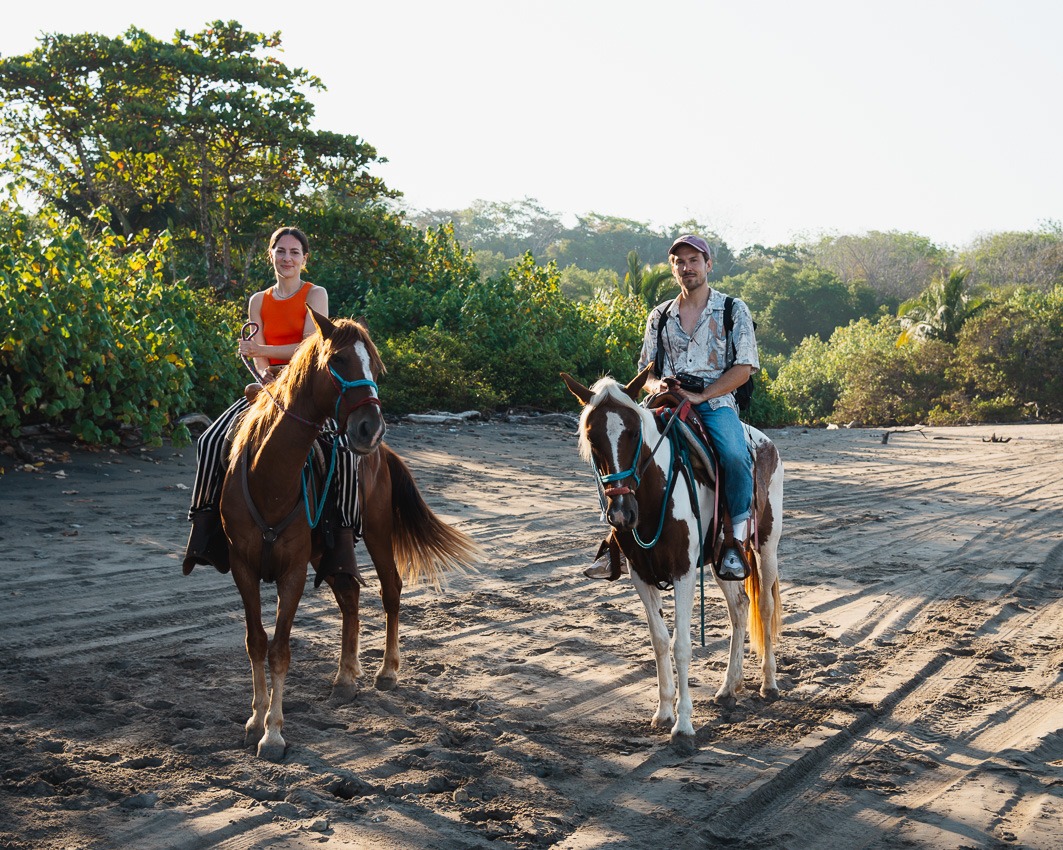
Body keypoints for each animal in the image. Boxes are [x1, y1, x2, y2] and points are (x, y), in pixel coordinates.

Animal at [222, 308, 480, 760]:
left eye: (374, 366)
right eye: (339, 360)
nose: (369, 428)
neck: (269, 475)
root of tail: (383, 453)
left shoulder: (292, 571)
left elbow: (280, 650)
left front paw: (274, 733)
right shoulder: (243, 567)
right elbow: (256, 642)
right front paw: (254, 722)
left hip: (376, 530)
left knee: (390, 589)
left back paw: (387, 671)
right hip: (328, 548)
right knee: (350, 596)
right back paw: (345, 677)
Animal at [565, 365, 782, 743]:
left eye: (634, 432)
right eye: (592, 437)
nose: (622, 514)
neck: (654, 494)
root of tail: (765, 442)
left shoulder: (683, 571)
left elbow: (682, 645)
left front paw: (683, 724)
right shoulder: (641, 575)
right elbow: (659, 640)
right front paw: (664, 711)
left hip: (766, 546)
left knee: (765, 606)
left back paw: (768, 683)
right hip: (721, 560)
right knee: (740, 607)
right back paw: (729, 686)